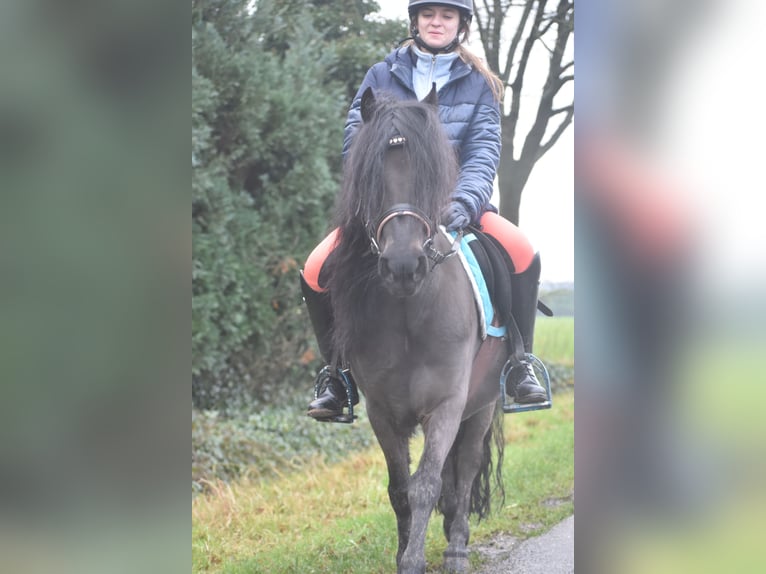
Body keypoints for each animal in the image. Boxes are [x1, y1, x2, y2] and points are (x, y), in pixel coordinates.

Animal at [324, 86, 510, 574]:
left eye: (430, 174)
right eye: (372, 176)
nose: (404, 265)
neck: (409, 315)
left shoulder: (447, 406)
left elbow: (426, 485)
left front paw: (415, 559)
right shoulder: (383, 413)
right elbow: (400, 489)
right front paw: (403, 552)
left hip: (480, 409)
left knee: (464, 473)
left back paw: (456, 548)